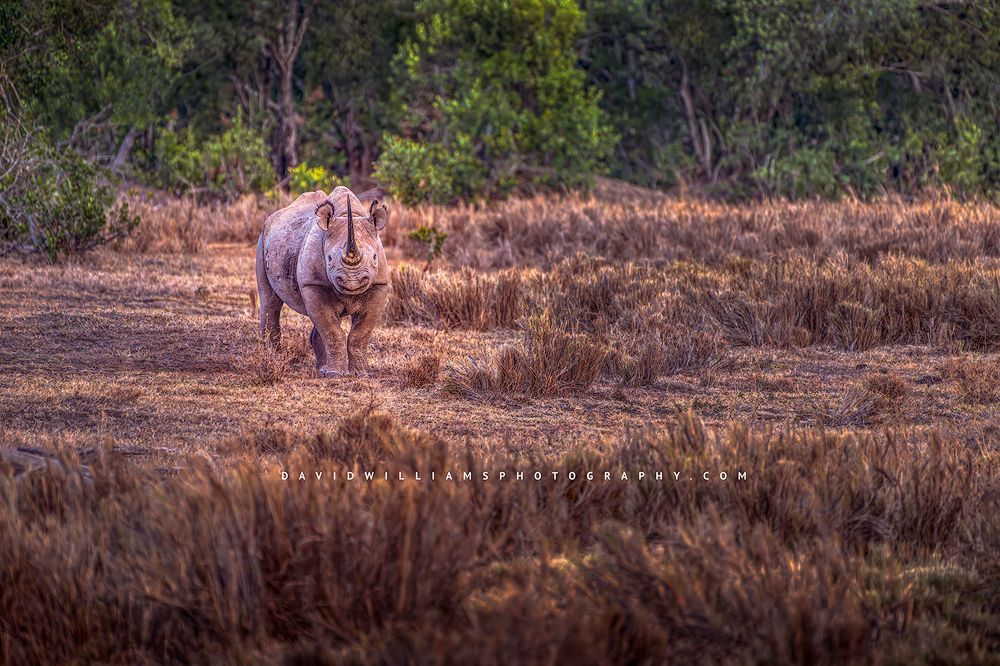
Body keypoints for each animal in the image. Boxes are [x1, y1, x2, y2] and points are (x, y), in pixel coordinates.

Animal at [255, 186, 390, 376]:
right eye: (329, 258)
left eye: (374, 257)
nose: (353, 281)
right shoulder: (312, 283)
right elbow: (332, 331)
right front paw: (335, 375)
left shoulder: (379, 284)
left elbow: (359, 333)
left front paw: (361, 374)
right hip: (263, 239)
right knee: (270, 300)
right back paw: (273, 360)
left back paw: (320, 369)